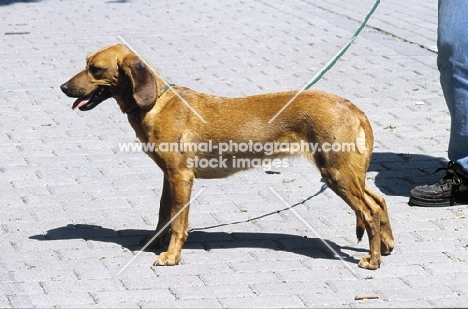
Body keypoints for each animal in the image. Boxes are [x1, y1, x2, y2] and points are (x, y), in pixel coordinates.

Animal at [60, 44, 394, 268]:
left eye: (96, 69)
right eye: (85, 63)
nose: (63, 87)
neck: (155, 103)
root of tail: (354, 108)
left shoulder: (181, 177)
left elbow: (178, 223)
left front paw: (171, 256)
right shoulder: (169, 177)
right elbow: (164, 214)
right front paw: (156, 242)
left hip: (336, 173)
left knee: (369, 212)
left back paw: (373, 260)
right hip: (348, 173)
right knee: (378, 201)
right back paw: (387, 245)